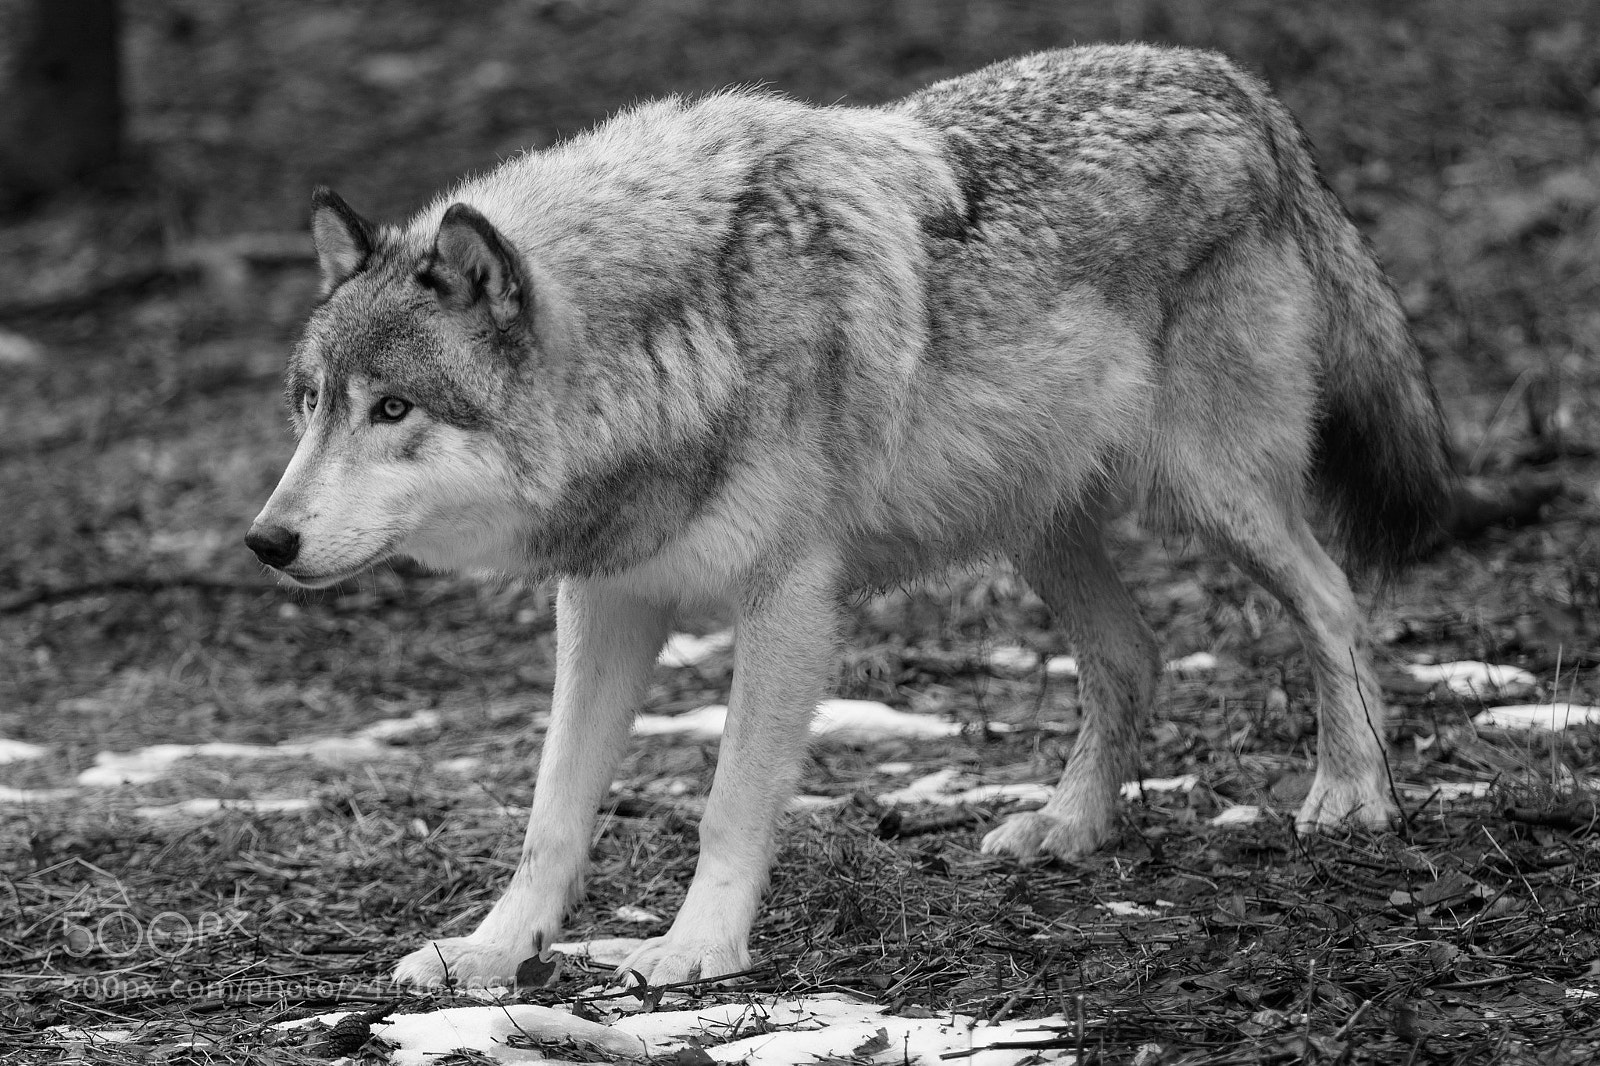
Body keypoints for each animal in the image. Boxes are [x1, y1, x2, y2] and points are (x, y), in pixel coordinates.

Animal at [246, 43, 1452, 987]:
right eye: (310, 404)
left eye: (392, 408)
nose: (267, 540)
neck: (684, 336)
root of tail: (1233, 80)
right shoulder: (605, 603)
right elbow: (551, 813)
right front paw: (496, 952)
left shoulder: (786, 602)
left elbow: (728, 800)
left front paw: (696, 950)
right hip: (1040, 526)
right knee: (1134, 657)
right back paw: (1066, 827)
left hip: (1213, 494)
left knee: (1333, 599)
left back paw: (1352, 794)